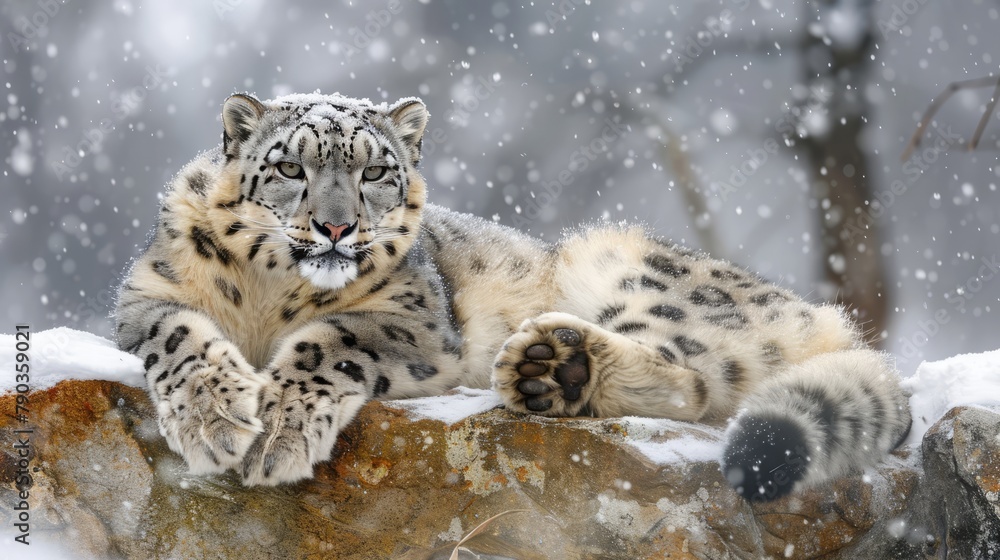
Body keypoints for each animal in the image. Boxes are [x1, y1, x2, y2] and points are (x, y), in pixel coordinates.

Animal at [115, 91, 911, 502]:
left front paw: (276, 433)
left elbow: (327, 341)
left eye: (375, 171)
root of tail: (834, 319)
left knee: (694, 378)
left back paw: (550, 362)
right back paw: (553, 375)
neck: (272, 292)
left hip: (633, 270)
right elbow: (181, 339)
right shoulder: (147, 295)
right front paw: (219, 423)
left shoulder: (415, 319)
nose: (338, 226)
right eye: (289, 168)